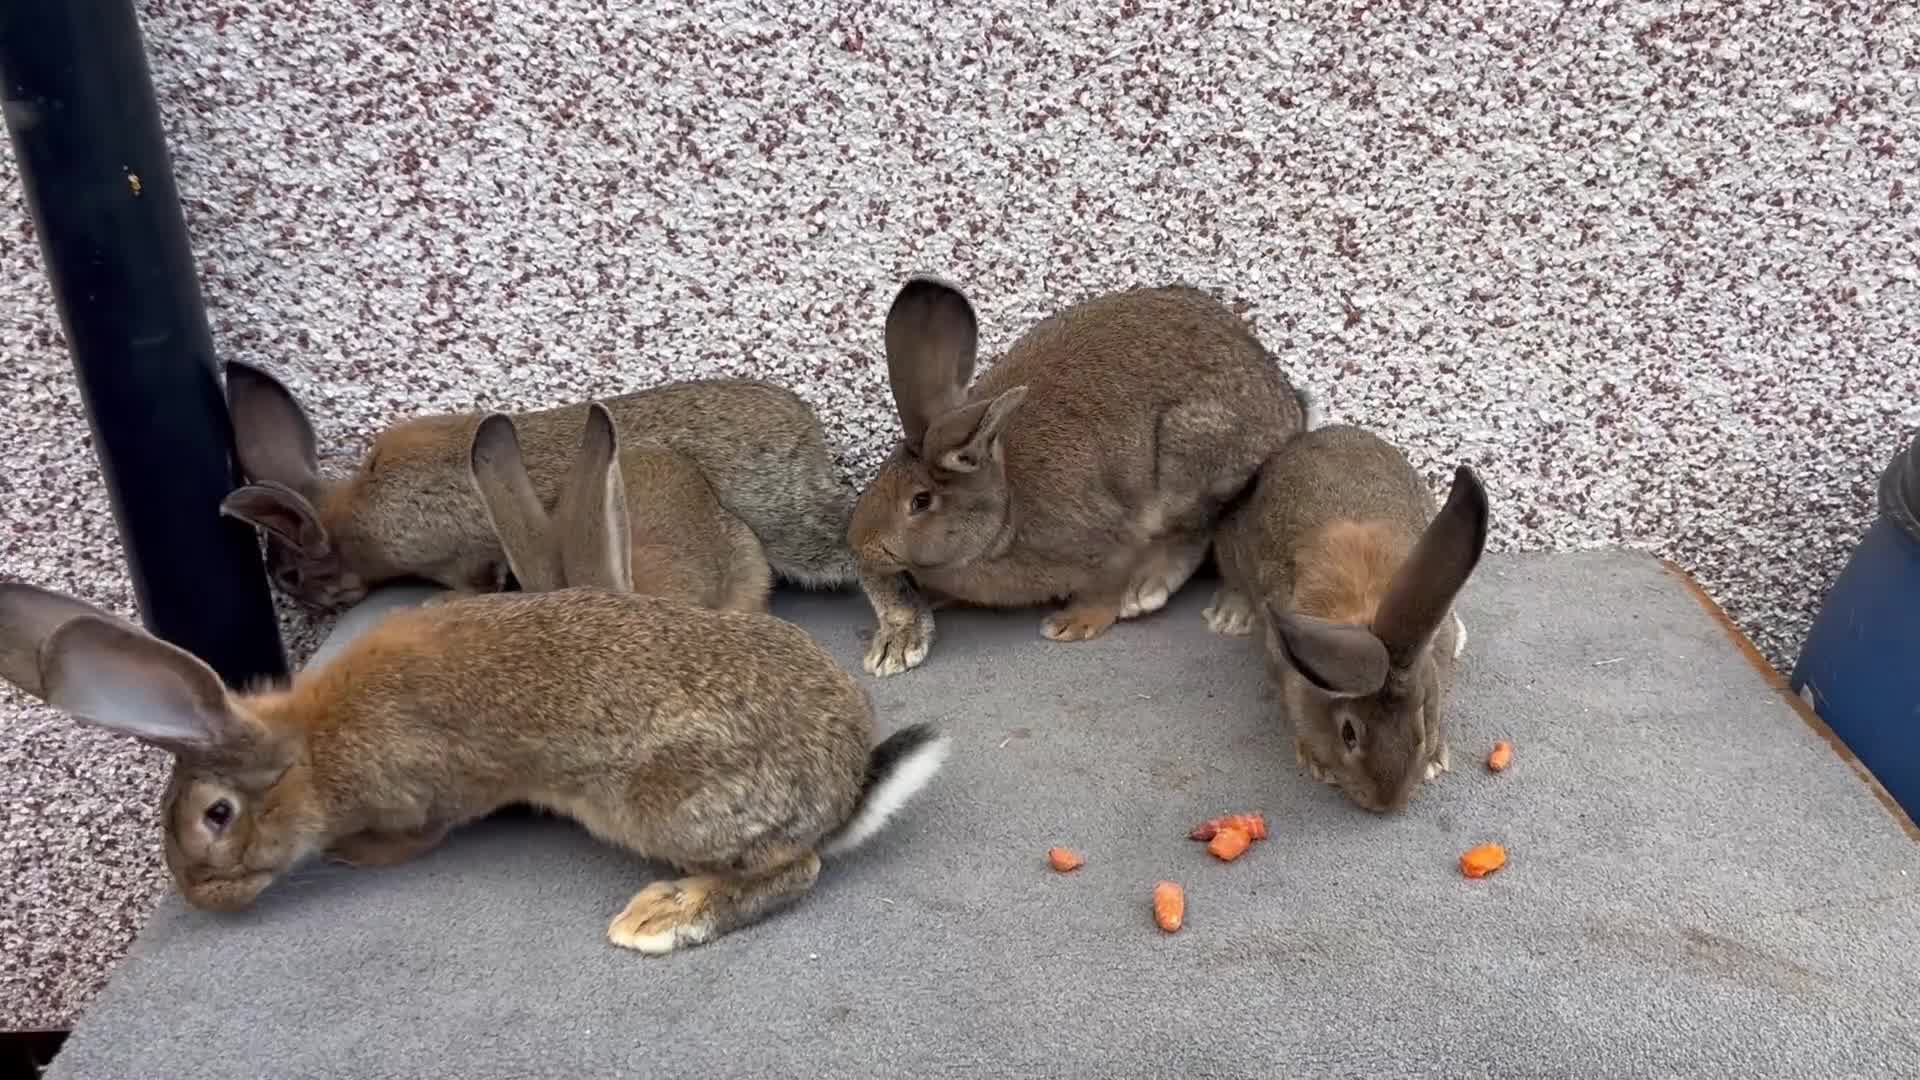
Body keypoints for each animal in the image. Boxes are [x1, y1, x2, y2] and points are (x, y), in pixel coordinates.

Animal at [0, 570, 950, 953]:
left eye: (216, 816)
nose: (203, 900)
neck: (311, 749)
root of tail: (844, 787)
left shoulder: (419, 796)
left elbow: (415, 834)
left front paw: (358, 855)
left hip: (675, 804)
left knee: (795, 870)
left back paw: (667, 916)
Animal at [846, 277, 1311, 676]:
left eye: (920, 501)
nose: (858, 545)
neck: (1005, 508)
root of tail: (1289, 405)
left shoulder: (1108, 539)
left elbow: (1106, 584)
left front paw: (1074, 624)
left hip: (1189, 458)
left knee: (1197, 531)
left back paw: (1152, 591)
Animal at [1206, 423, 1490, 813]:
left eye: (1421, 718)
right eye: (1348, 734)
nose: (1387, 803)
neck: (1365, 617)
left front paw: (1434, 761)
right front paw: (1315, 762)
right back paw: (1229, 617)